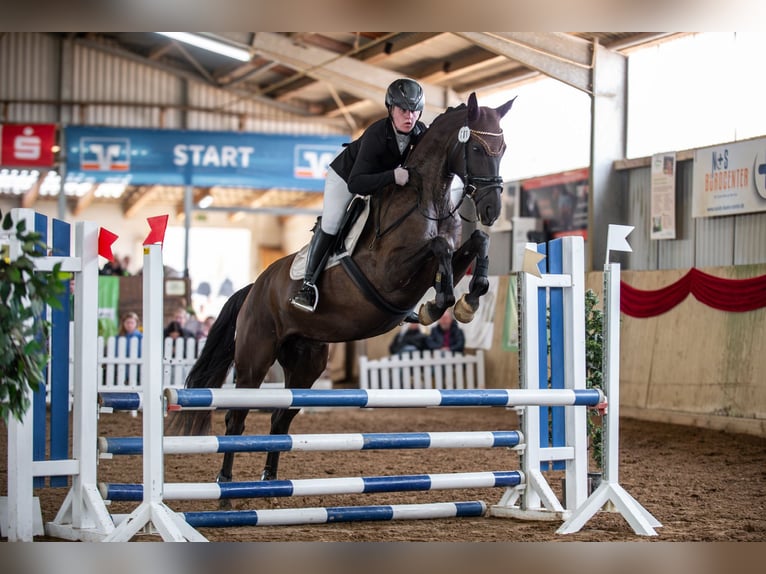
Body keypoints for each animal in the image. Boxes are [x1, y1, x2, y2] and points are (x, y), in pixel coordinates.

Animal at [167, 92, 516, 488]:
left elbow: (477, 242)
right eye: (475, 146)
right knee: (236, 418)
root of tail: (255, 287)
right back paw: (226, 481)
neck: (428, 199)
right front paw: (438, 305)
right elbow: (439, 246)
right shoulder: (388, 273)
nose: (492, 209)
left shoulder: (446, 260)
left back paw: (270, 480)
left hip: (307, 361)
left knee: (280, 418)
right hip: (255, 355)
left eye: (503, 147)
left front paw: (466, 301)